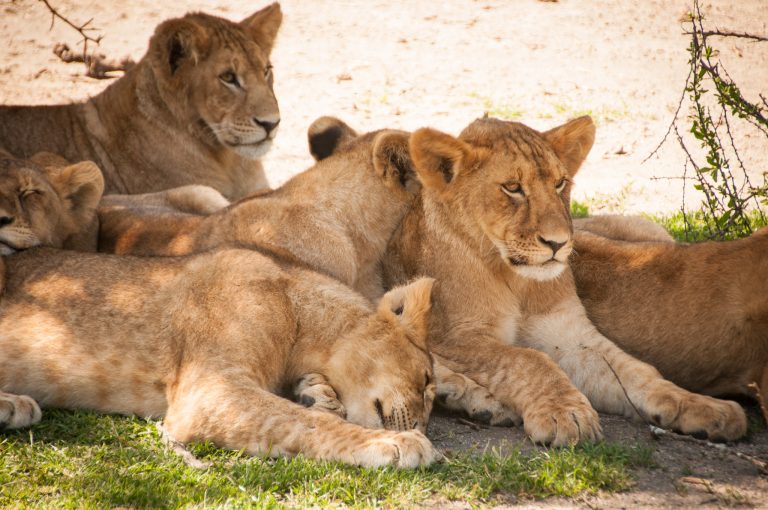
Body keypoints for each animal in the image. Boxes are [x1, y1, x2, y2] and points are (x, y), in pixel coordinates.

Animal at [0, 243, 440, 468]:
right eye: (426, 381)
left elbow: (305, 413)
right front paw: (399, 442)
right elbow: (305, 423)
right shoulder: (210, 389)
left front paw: (316, 394)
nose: (422, 425)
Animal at [382, 116, 747, 443]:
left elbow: (634, 370)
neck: (517, 281)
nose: (558, 243)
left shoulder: (570, 334)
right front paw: (565, 414)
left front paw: (703, 407)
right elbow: (528, 359)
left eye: (559, 183)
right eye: (512, 188)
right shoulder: (453, 338)